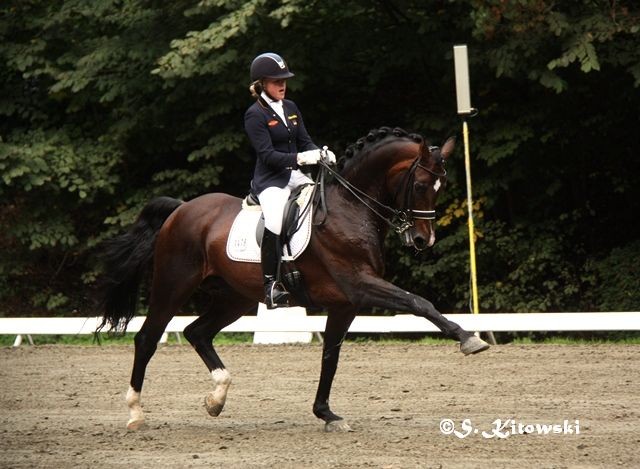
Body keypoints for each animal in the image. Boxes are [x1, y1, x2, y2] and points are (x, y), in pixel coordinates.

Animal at [99, 125, 490, 432]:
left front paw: (327, 414)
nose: (424, 240)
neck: (351, 208)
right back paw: (135, 413)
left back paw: (216, 399)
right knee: (147, 339)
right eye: (422, 184)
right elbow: (418, 301)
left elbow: (330, 357)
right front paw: (469, 339)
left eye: (441, 186)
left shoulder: (346, 303)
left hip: (234, 298)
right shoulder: (359, 285)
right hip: (173, 285)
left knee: (197, 332)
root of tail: (180, 209)